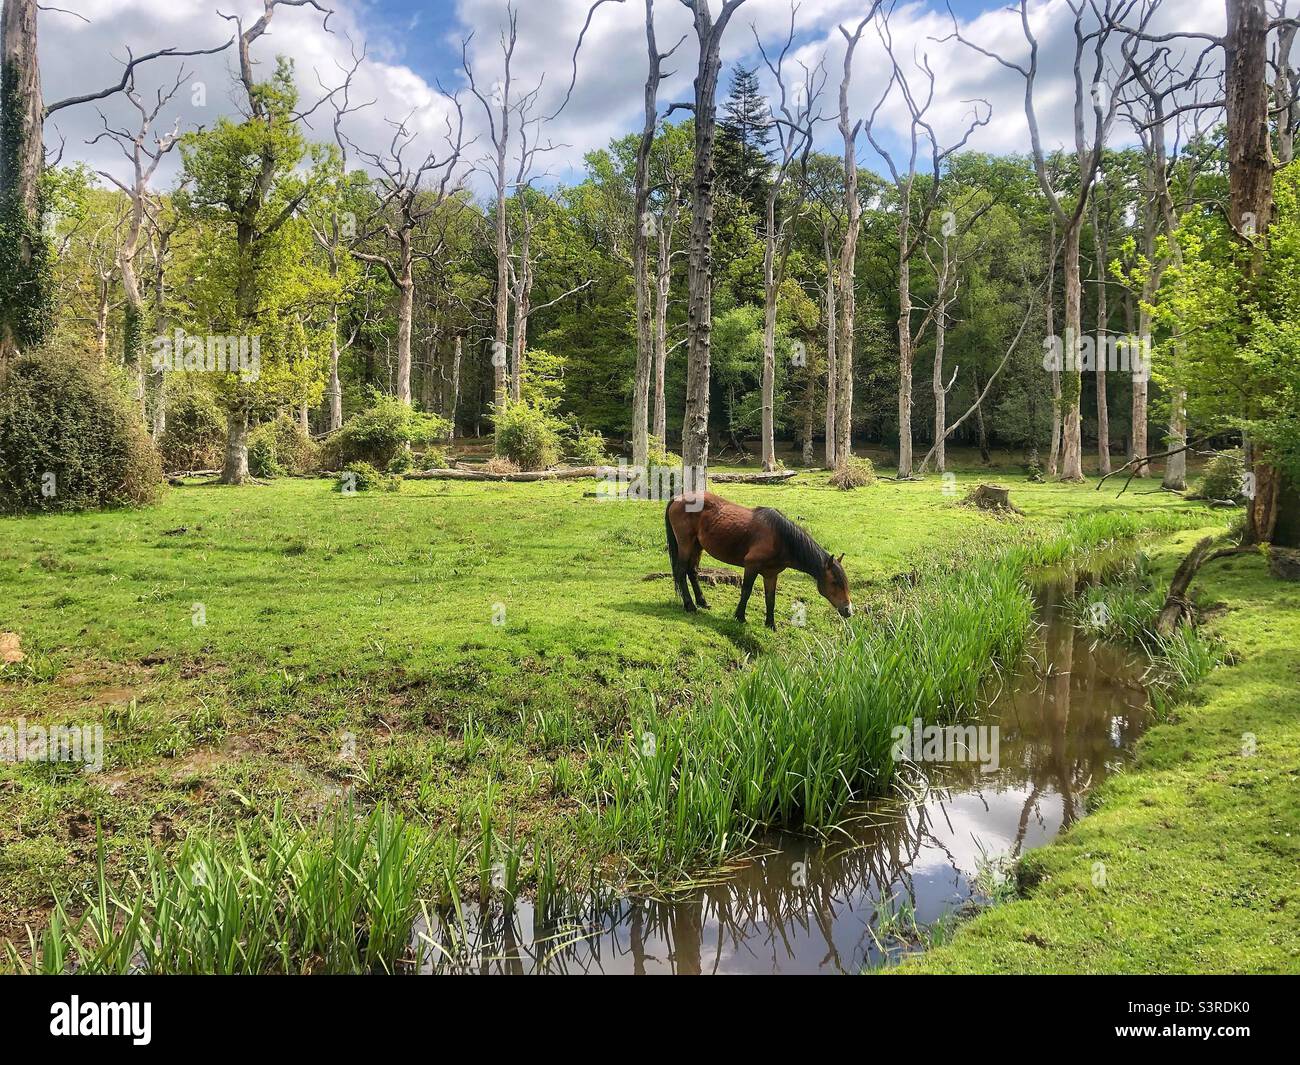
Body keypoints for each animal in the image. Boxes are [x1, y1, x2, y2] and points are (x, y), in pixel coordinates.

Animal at [664, 492, 853, 629]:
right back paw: (690, 605)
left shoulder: (771, 575)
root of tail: (678, 498)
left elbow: (770, 598)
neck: (780, 537)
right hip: (685, 544)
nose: (848, 610)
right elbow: (746, 591)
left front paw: (770, 624)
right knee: (681, 572)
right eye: (835, 582)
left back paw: (702, 602)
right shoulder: (751, 566)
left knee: (692, 572)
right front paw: (740, 616)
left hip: (697, 546)